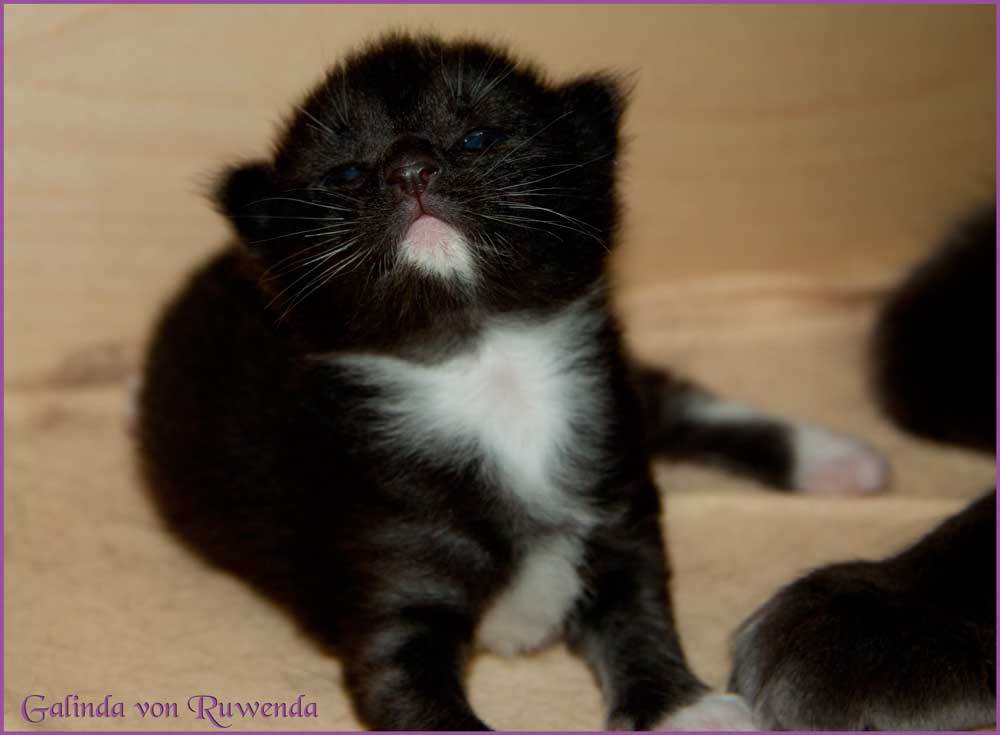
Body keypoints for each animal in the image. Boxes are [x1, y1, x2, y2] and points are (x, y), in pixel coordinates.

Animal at [138, 34, 887, 730]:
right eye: (346, 172)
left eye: (477, 136)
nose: (409, 166)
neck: (490, 366)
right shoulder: (391, 591)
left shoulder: (619, 509)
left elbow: (642, 617)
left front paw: (683, 706)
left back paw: (837, 458)